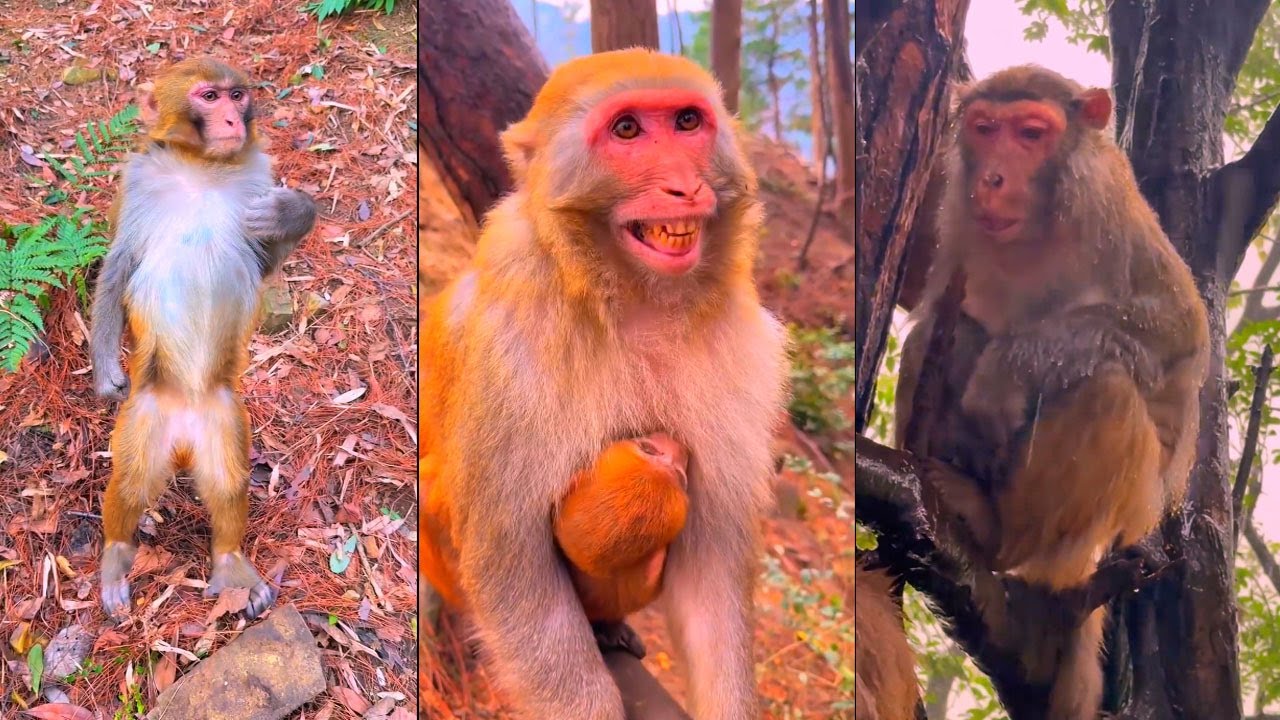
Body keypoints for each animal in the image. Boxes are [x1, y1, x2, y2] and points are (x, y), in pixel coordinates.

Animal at [90, 57, 317, 620]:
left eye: (237, 95)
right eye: (209, 97)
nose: (233, 120)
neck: (202, 168)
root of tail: (184, 432)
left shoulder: (258, 181)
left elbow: (263, 263)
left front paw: (295, 211)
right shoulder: (138, 182)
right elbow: (119, 262)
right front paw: (105, 371)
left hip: (223, 415)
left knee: (227, 480)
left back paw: (231, 561)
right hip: (146, 416)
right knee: (130, 480)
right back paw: (116, 553)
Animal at [421, 48, 789, 720]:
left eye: (687, 122)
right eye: (627, 130)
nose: (684, 185)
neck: (635, 298)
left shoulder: (742, 349)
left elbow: (713, 574)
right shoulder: (510, 346)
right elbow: (510, 564)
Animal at [895, 65, 1209, 719]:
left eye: (1032, 134)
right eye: (985, 129)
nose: (991, 177)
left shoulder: (1114, 211)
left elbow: (1176, 329)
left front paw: (1006, 372)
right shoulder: (957, 218)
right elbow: (936, 317)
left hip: (1102, 524)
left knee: (1107, 387)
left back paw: (999, 538)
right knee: (951, 334)